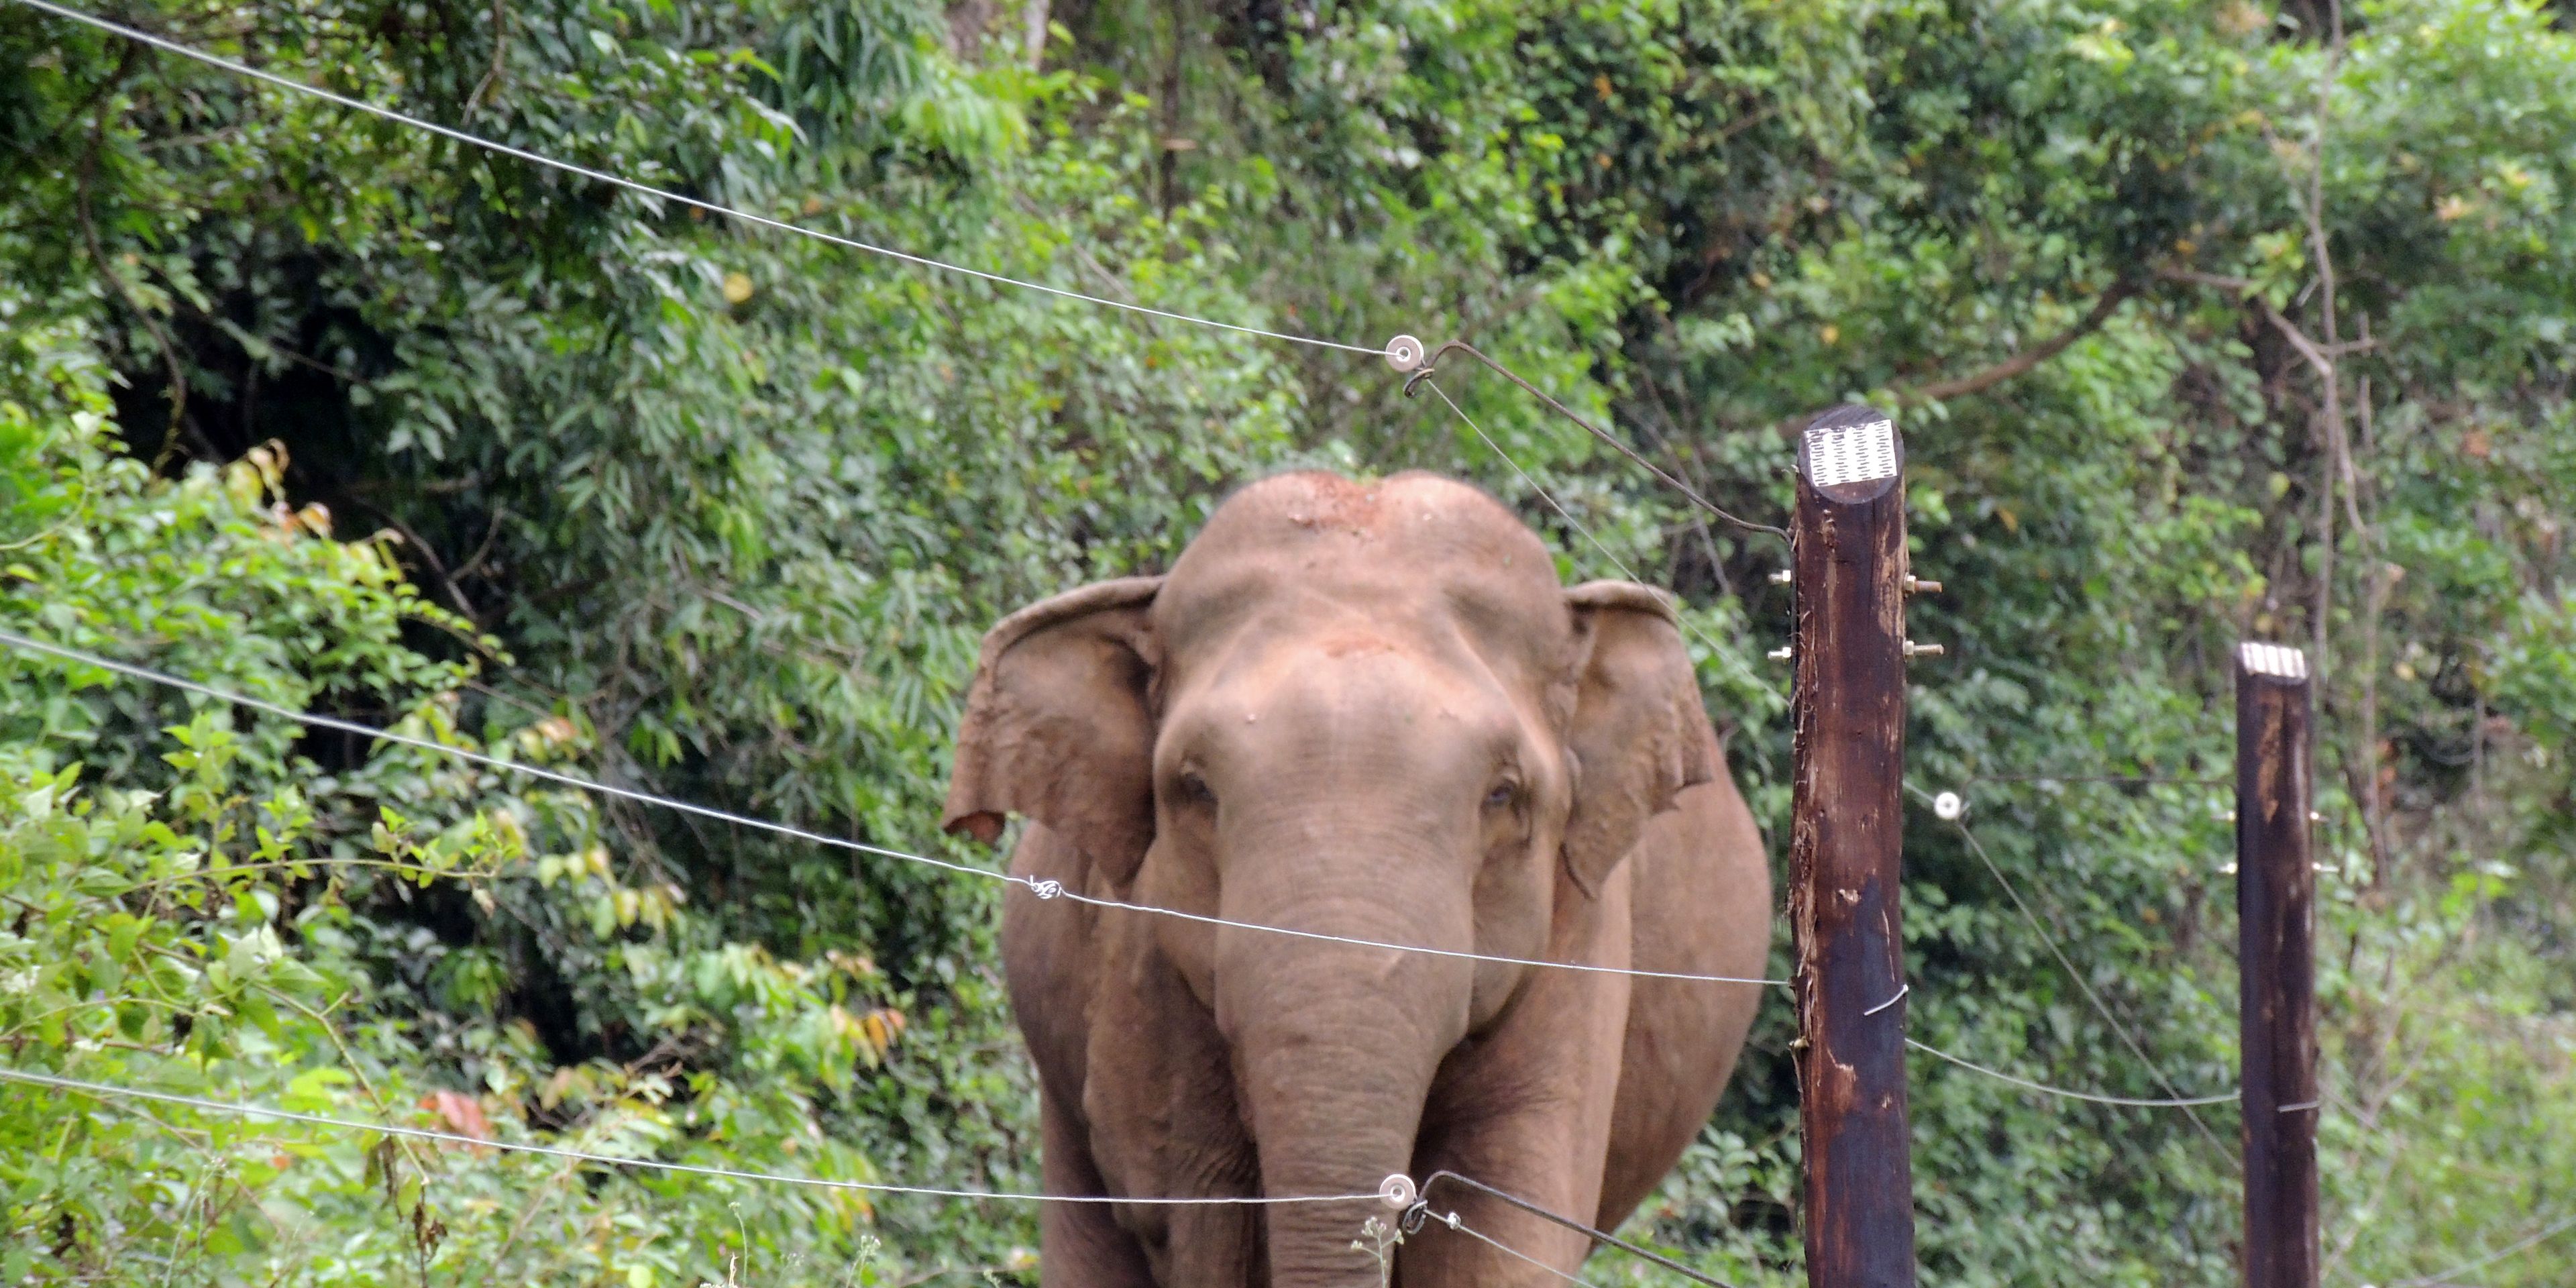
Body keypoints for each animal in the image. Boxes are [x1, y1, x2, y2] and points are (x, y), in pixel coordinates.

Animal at [942, 470, 1772, 1288]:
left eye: (1502, 795)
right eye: (1195, 788)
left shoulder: (1583, 931)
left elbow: (1507, 1224)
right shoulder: (1141, 957)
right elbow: (1192, 1220)